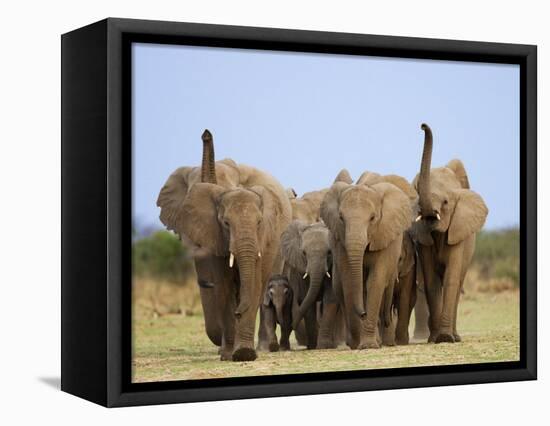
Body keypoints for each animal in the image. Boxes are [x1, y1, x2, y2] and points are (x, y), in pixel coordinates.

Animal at [156, 129, 294, 360]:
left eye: (259, 222)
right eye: (225, 223)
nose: (206, 134)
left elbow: (253, 284)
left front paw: (244, 353)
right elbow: (223, 286)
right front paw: (230, 354)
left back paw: (263, 348)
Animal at [324, 174, 414, 350]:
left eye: (372, 218)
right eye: (341, 218)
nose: (363, 313)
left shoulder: (383, 235)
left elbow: (375, 280)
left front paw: (368, 346)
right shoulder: (340, 241)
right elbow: (349, 281)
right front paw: (360, 344)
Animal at [414, 123, 492, 342]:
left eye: (446, 202)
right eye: (416, 195)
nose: (422, 125)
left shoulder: (458, 231)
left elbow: (451, 278)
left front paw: (445, 338)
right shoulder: (423, 239)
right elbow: (431, 281)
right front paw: (436, 339)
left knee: (458, 283)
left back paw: (455, 336)